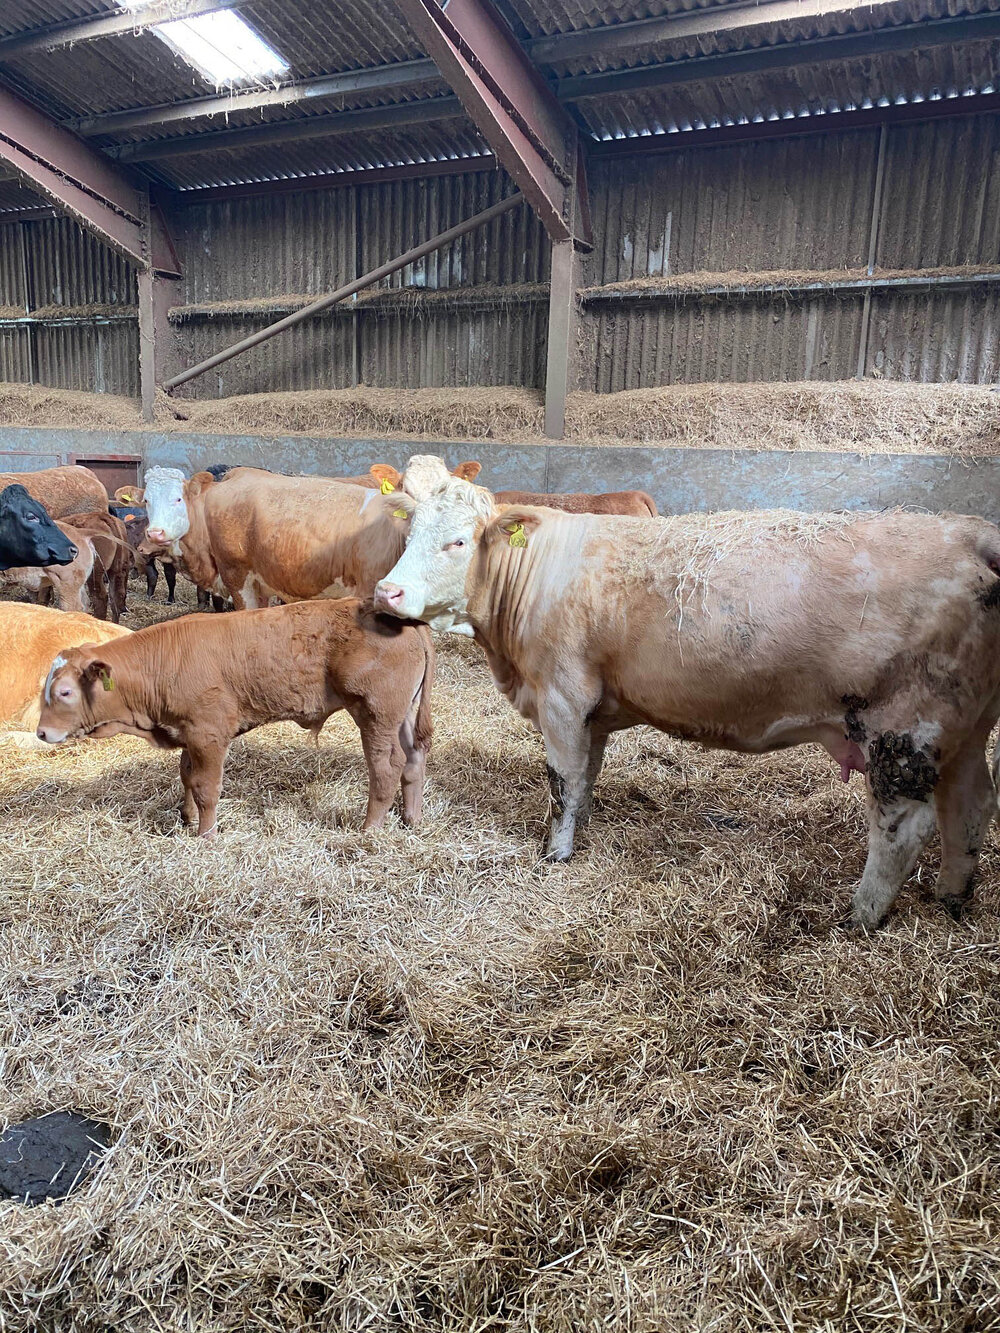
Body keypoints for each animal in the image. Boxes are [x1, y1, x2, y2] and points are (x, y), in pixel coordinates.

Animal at [37, 602, 437, 831]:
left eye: (65, 692)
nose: (41, 733)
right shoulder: (188, 732)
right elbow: (187, 776)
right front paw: (187, 819)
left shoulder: (209, 733)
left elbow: (206, 788)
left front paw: (206, 835)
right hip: (403, 712)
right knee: (414, 759)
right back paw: (412, 819)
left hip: (376, 713)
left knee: (387, 767)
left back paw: (369, 830)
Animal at [376, 479, 1000, 927]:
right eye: (408, 537)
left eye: (458, 541)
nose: (387, 591)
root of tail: (969, 532)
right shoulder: (593, 714)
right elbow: (585, 782)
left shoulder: (561, 698)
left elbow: (562, 784)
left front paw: (556, 855)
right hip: (965, 731)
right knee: (970, 808)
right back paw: (950, 901)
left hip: (904, 731)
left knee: (903, 828)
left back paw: (860, 917)